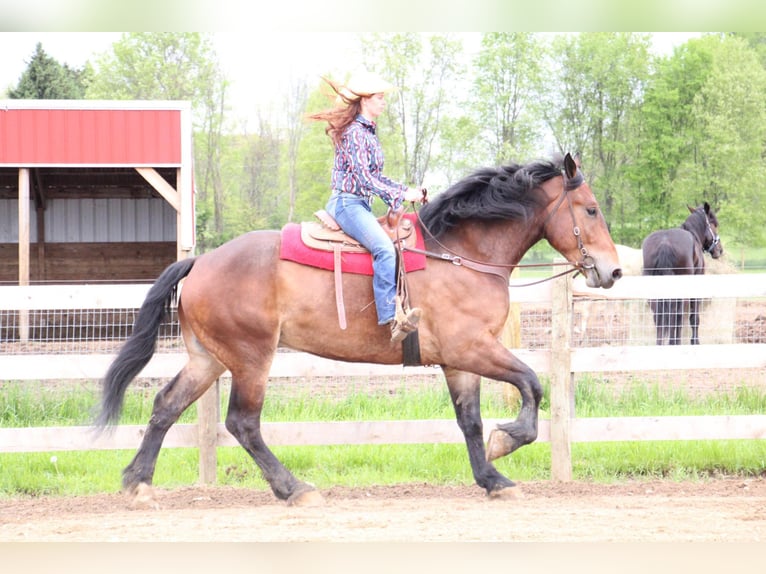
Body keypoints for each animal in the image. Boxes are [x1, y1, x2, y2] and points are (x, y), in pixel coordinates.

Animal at [96, 153, 624, 508]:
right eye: (591, 209)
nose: (614, 271)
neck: (460, 253)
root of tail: (201, 261)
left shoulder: (458, 361)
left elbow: (471, 420)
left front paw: (492, 479)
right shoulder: (472, 347)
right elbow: (531, 384)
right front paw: (507, 441)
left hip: (208, 358)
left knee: (165, 406)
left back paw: (138, 482)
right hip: (250, 359)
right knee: (243, 423)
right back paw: (294, 489)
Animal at [640, 202, 728, 346]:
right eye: (714, 224)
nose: (719, 250)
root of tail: (665, 243)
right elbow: (693, 316)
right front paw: (695, 341)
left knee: (659, 315)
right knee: (675, 314)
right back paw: (673, 342)